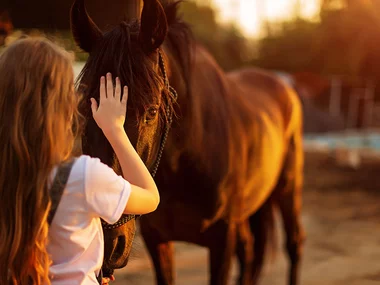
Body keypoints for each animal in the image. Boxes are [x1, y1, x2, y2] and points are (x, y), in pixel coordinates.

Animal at [70, 1, 306, 282]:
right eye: (83, 109)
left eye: (152, 111)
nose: (106, 243)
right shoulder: (157, 239)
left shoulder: (222, 239)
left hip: (288, 189)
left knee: (293, 244)